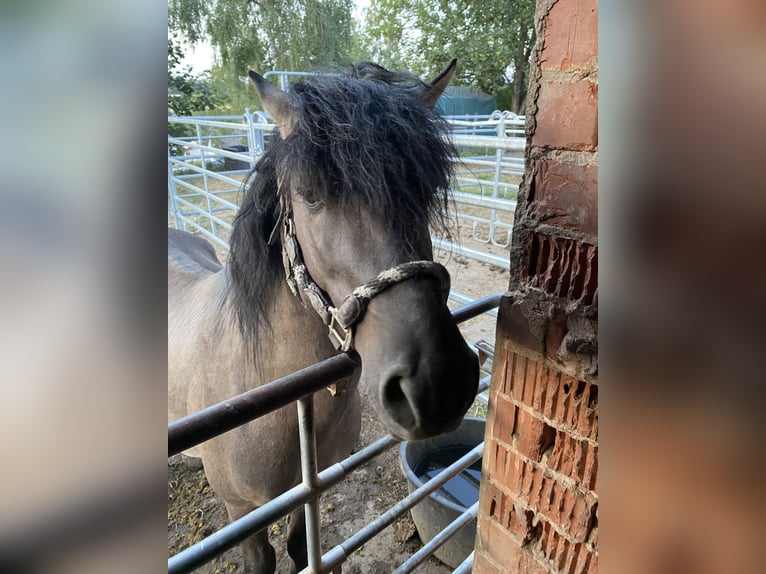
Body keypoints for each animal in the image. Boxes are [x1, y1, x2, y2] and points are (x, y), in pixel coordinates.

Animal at [168, 60, 479, 573]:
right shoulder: (241, 512)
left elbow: (300, 549)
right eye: (310, 194)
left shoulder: (305, 493)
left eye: (428, 188)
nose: (438, 384)